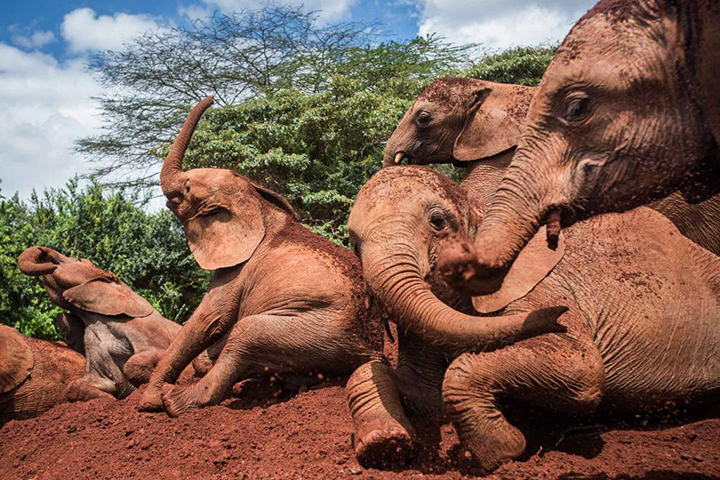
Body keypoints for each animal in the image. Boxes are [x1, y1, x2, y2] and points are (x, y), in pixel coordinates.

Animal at [19, 246, 195, 400]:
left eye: (79, 260)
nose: (43, 252)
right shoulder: (92, 341)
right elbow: (78, 385)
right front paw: (110, 398)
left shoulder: (146, 328)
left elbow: (141, 360)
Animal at [141, 97, 388, 416]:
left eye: (186, 189)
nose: (211, 99)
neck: (256, 201)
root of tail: (375, 352)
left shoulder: (236, 271)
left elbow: (207, 320)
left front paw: (149, 403)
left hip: (322, 331)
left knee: (245, 334)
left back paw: (176, 402)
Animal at [346, 163, 720, 470]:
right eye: (353, 242)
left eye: (438, 221)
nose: (557, 317)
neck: (484, 210)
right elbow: (413, 390)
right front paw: (386, 446)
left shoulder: (543, 286)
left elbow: (583, 369)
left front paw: (501, 453)